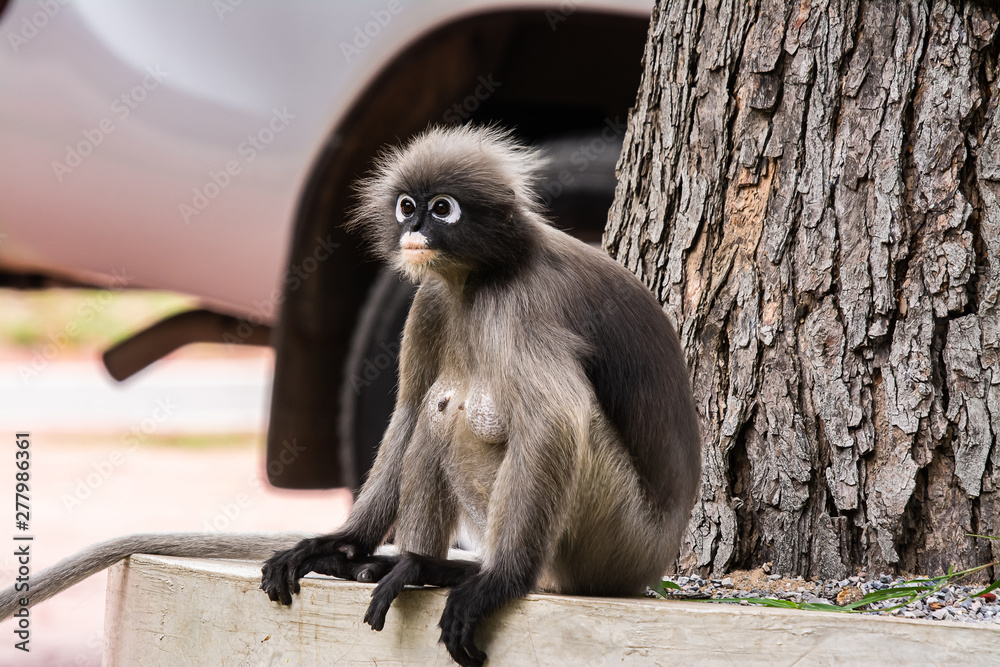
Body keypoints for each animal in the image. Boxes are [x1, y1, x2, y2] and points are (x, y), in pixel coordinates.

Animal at [260, 125, 701, 667]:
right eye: (408, 206)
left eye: (442, 208)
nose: (415, 228)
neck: (481, 276)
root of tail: (658, 557)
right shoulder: (430, 298)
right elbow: (408, 411)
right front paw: (344, 544)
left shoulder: (523, 304)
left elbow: (553, 422)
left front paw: (497, 583)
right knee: (435, 410)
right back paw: (408, 564)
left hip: (615, 540)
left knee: (465, 414)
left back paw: (460, 571)